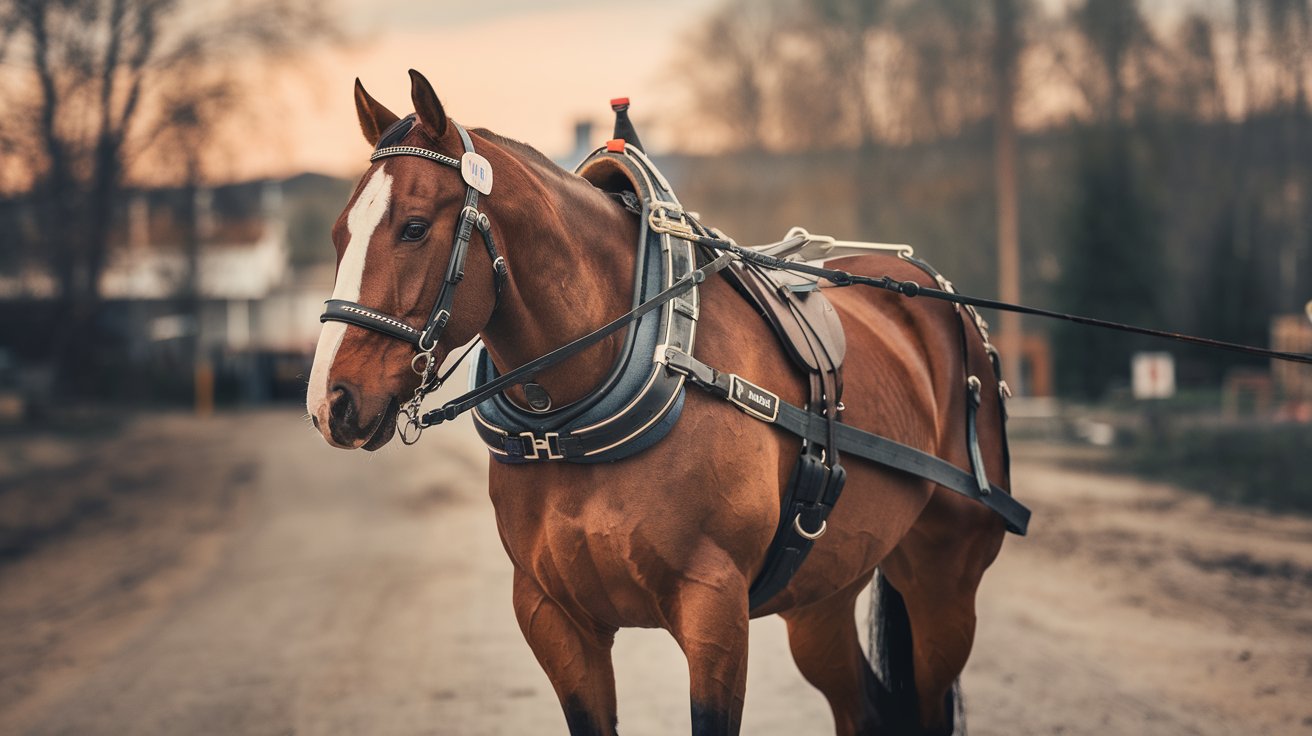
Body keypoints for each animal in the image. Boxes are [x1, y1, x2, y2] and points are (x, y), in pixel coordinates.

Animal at [306, 69, 1013, 736]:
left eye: (414, 228)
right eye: (339, 234)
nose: (329, 402)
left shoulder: (715, 612)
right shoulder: (554, 618)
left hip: (943, 584)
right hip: (823, 593)